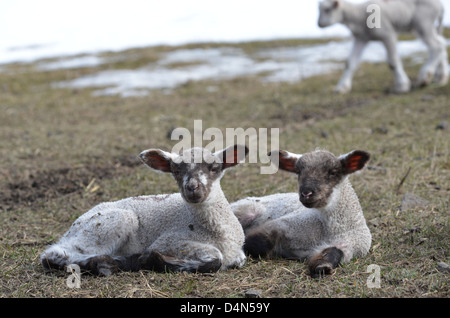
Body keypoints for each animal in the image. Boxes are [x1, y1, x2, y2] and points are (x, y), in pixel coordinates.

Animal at [40, 145, 248, 276]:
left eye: (214, 168)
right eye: (176, 171)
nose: (192, 188)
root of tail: (72, 228)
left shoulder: (238, 253)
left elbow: (239, 259)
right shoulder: (169, 241)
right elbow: (215, 259)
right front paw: (155, 260)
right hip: (109, 224)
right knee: (54, 254)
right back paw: (108, 263)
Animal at [230, 148, 370, 278]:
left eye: (333, 172)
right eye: (298, 172)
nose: (306, 193)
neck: (328, 230)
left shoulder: (347, 247)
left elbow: (331, 256)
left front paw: (322, 267)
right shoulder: (281, 225)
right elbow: (258, 243)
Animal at [318, 0, 448, 93]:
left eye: (327, 9)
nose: (319, 24)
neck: (358, 15)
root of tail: (440, 5)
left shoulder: (388, 34)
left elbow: (392, 61)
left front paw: (402, 85)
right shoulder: (361, 39)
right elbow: (350, 63)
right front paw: (341, 87)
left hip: (423, 23)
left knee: (437, 46)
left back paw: (424, 77)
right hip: (428, 26)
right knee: (441, 44)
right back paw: (441, 77)